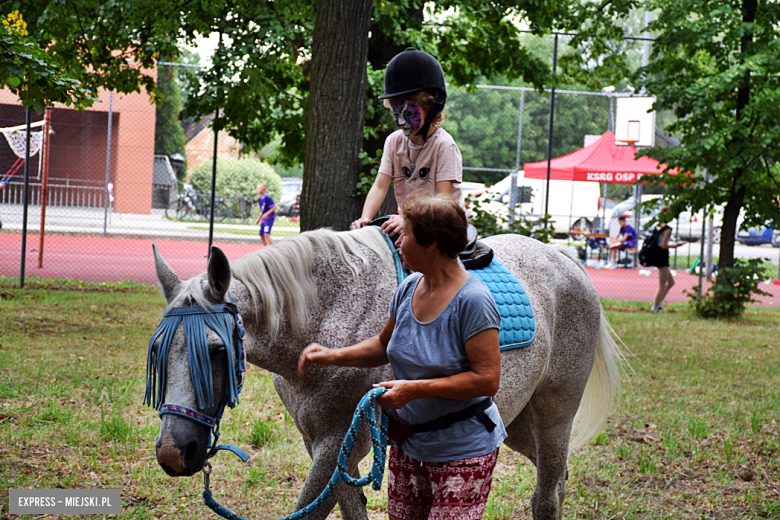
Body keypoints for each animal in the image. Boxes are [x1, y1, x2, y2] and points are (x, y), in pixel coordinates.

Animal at [148, 229, 620, 520]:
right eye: (157, 352)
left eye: (215, 351)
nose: (174, 452)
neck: (326, 317)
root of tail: (564, 258)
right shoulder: (328, 445)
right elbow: (351, 507)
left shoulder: (338, 442)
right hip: (519, 424)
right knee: (558, 481)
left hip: (554, 415)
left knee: (547, 495)